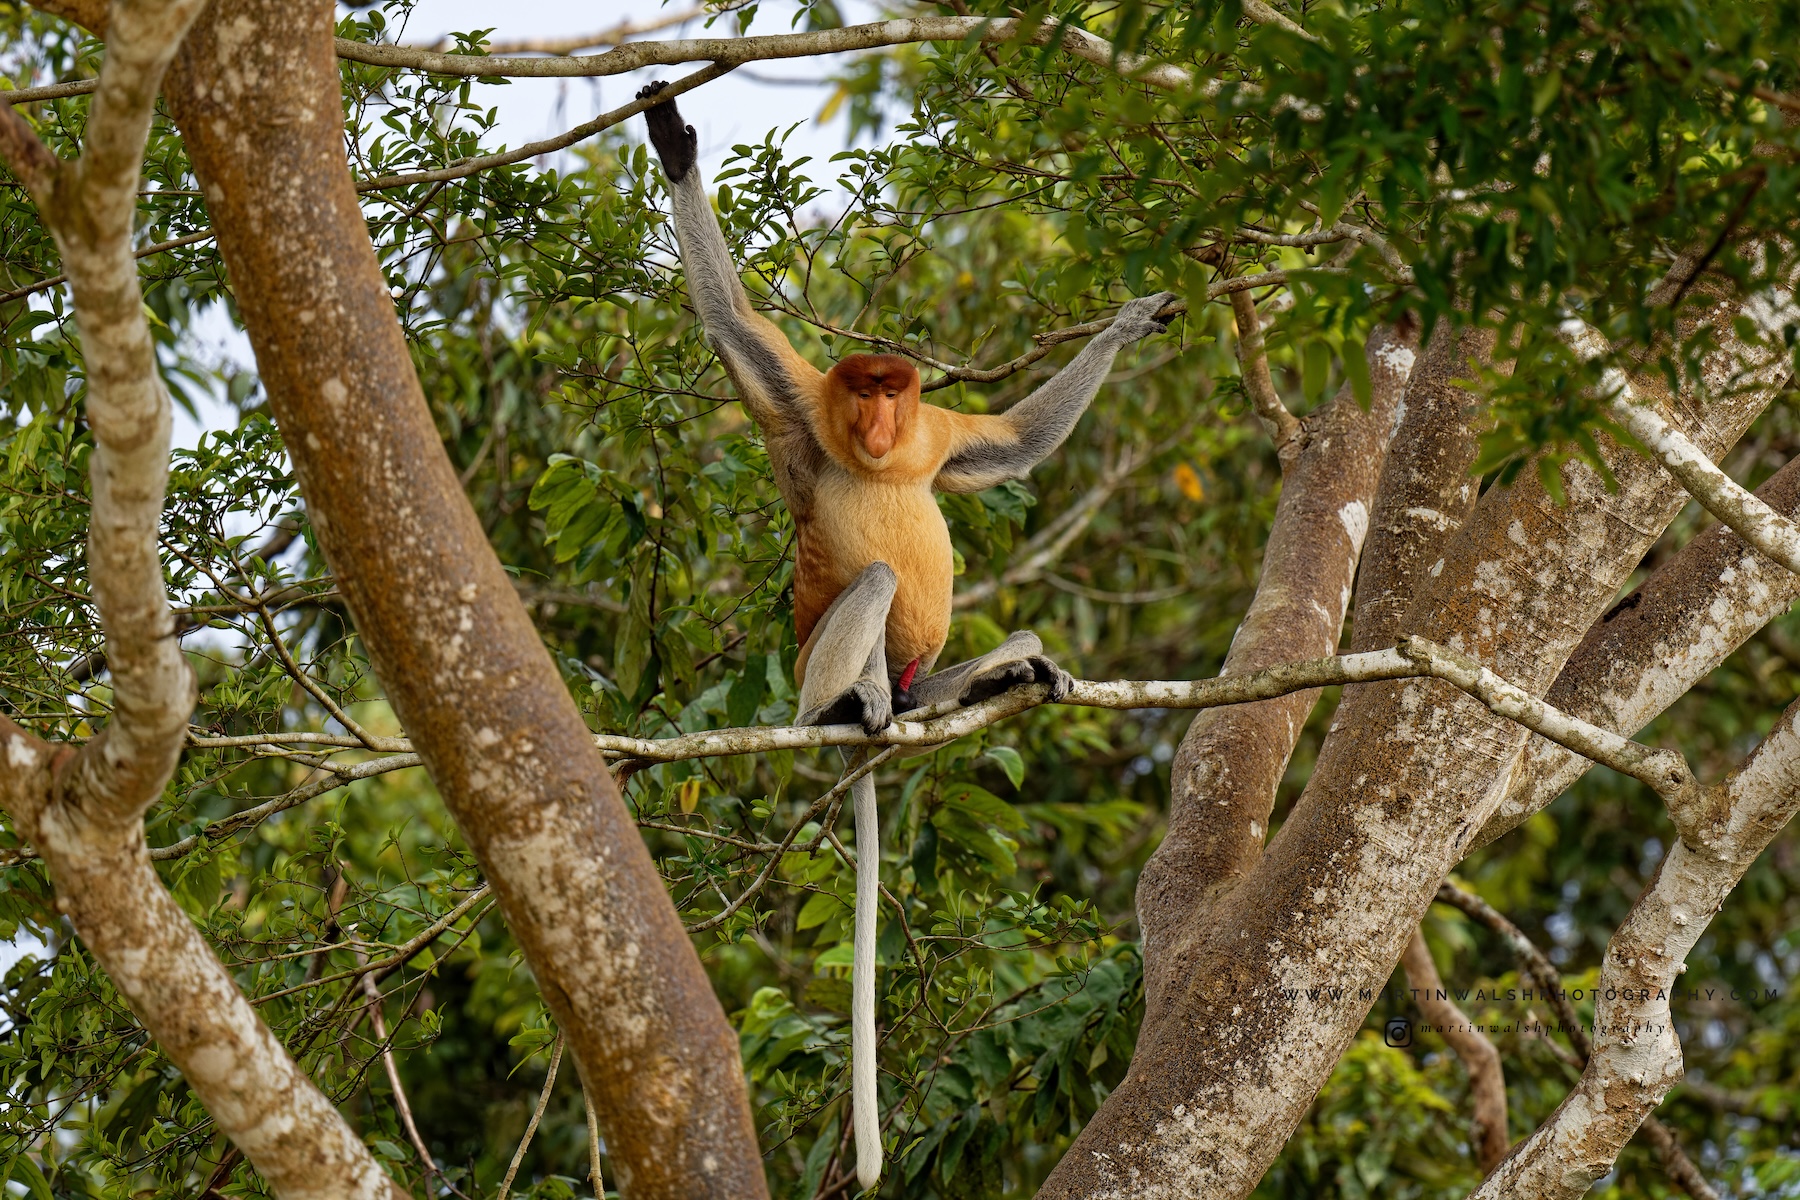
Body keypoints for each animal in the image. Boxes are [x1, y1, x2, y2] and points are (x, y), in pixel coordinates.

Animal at [637, 80, 1176, 1189]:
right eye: (864, 386)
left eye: (898, 389)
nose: (884, 420)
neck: (881, 452)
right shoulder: (798, 398)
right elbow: (729, 323)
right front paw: (673, 145)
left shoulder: (938, 437)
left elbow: (1010, 446)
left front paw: (1131, 323)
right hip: (815, 661)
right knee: (878, 585)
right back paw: (851, 704)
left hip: (935, 666)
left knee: (977, 649)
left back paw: (998, 677)